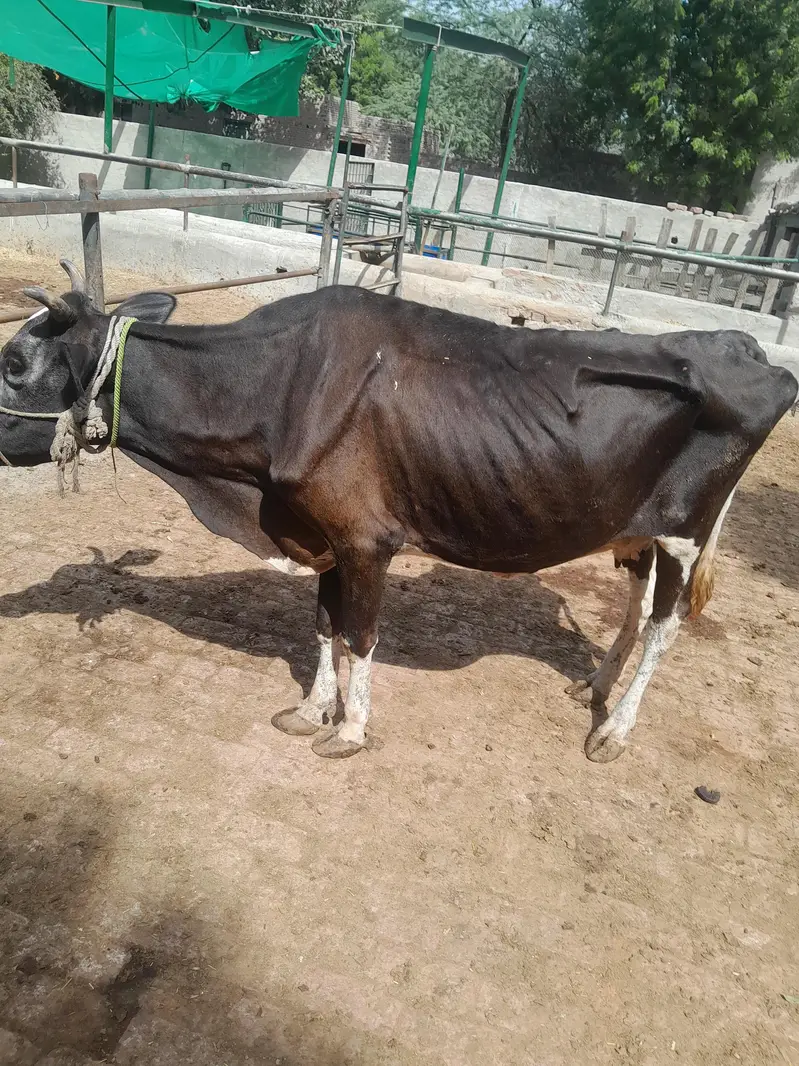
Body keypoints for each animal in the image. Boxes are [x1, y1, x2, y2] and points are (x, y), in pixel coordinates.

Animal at [1, 260, 796, 763]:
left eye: (12, 363)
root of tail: (741, 343)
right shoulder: (318, 527)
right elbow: (323, 625)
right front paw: (311, 709)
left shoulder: (364, 537)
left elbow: (361, 636)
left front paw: (349, 730)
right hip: (630, 523)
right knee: (636, 595)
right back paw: (595, 687)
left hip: (687, 527)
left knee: (666, 624)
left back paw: (616, 730)